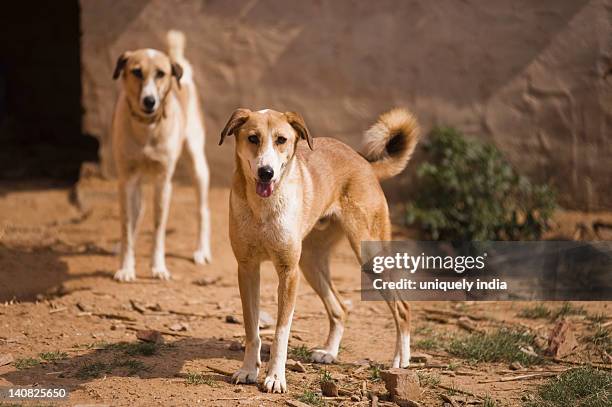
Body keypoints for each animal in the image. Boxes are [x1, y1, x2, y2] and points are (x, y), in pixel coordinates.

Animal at [111, 31, 212, 284]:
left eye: (161, 74)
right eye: (136, 71)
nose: (150, 101)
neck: (147, 128)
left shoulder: (163, 182)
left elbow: (158, 229)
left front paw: (158, 267)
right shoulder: (126, 180)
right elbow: (127, 225)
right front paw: (126, 267)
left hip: (198, 165)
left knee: (203, 210)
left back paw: (201, 251)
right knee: (136, 214)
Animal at [220, 107, 420, 394]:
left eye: (281, 140)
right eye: (253, 138)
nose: (266, 172)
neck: (263, 207)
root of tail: (364, 162)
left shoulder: (288, 273)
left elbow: (281, 333)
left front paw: (276, 377)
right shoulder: (247, 269)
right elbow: (251, 329)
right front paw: (249, 370)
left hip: (370, 258)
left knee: (402, 308)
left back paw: (400, 360)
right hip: (311, 264)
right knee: (340, 308)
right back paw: (330, 353)